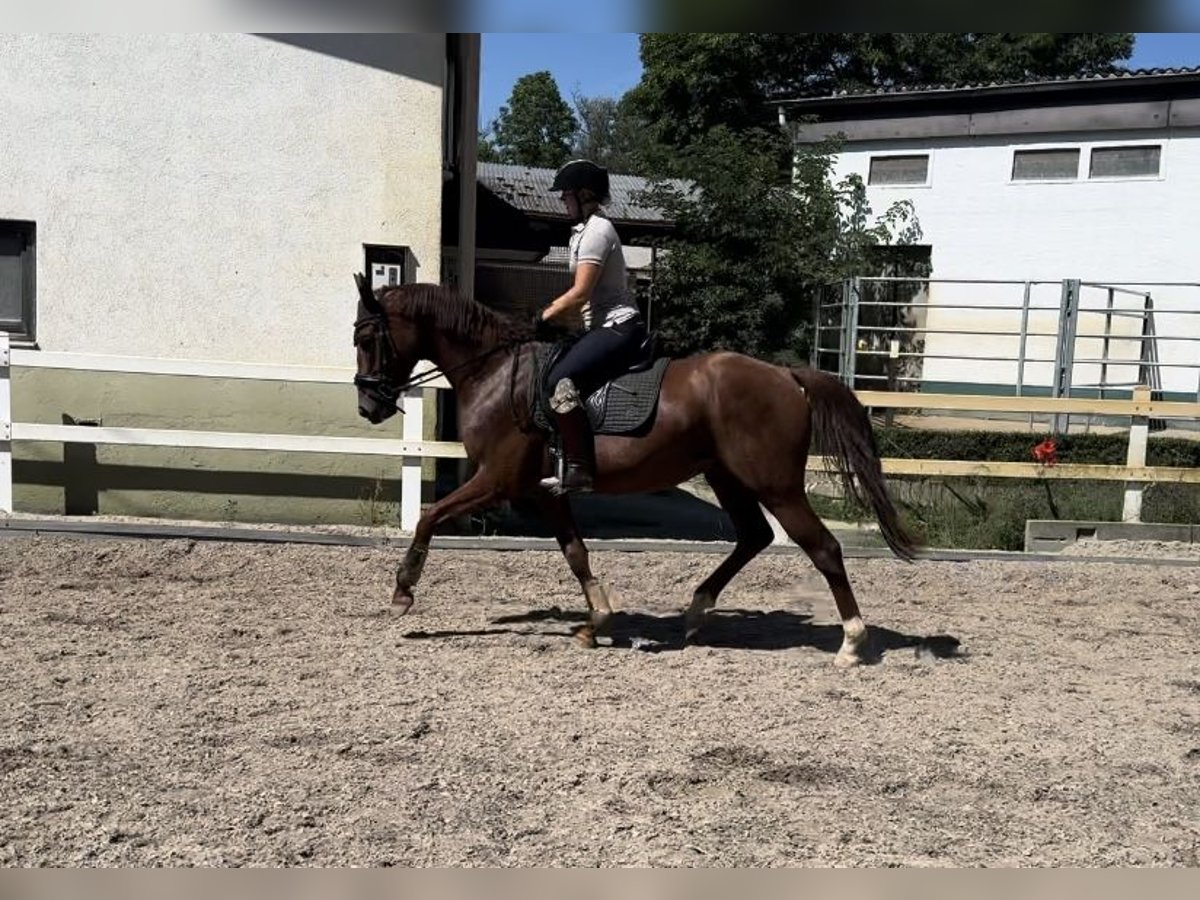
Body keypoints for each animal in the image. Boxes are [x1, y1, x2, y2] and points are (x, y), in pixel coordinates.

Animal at [350, 278, 912, 667]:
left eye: (369, 336)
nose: (367, 406)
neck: (493, 372)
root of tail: (786, 375)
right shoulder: (546, 493)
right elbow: (575, 552)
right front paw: (595, 620)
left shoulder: (497, 480)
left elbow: (429, 517)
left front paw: (403, 592)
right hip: (728, 478)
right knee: (754, 536)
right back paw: (695, 613)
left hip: (776, 485)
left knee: (824, 547)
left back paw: (852, 642)